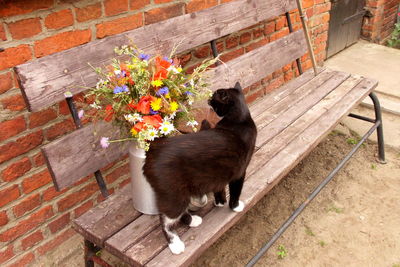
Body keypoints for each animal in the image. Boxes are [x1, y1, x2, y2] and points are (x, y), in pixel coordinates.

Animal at [143, 82, 256, 255]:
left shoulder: (220, 170)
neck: (240, 120)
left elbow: (219, 187)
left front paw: (220, 202)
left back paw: (192, 221)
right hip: (174, 193)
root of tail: (151, 153)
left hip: (179, 191)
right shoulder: (240, 171)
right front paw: (235, 206)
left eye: (213, 98)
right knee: (165, 220)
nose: (208, 100)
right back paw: (175, 244)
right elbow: (236, 190)